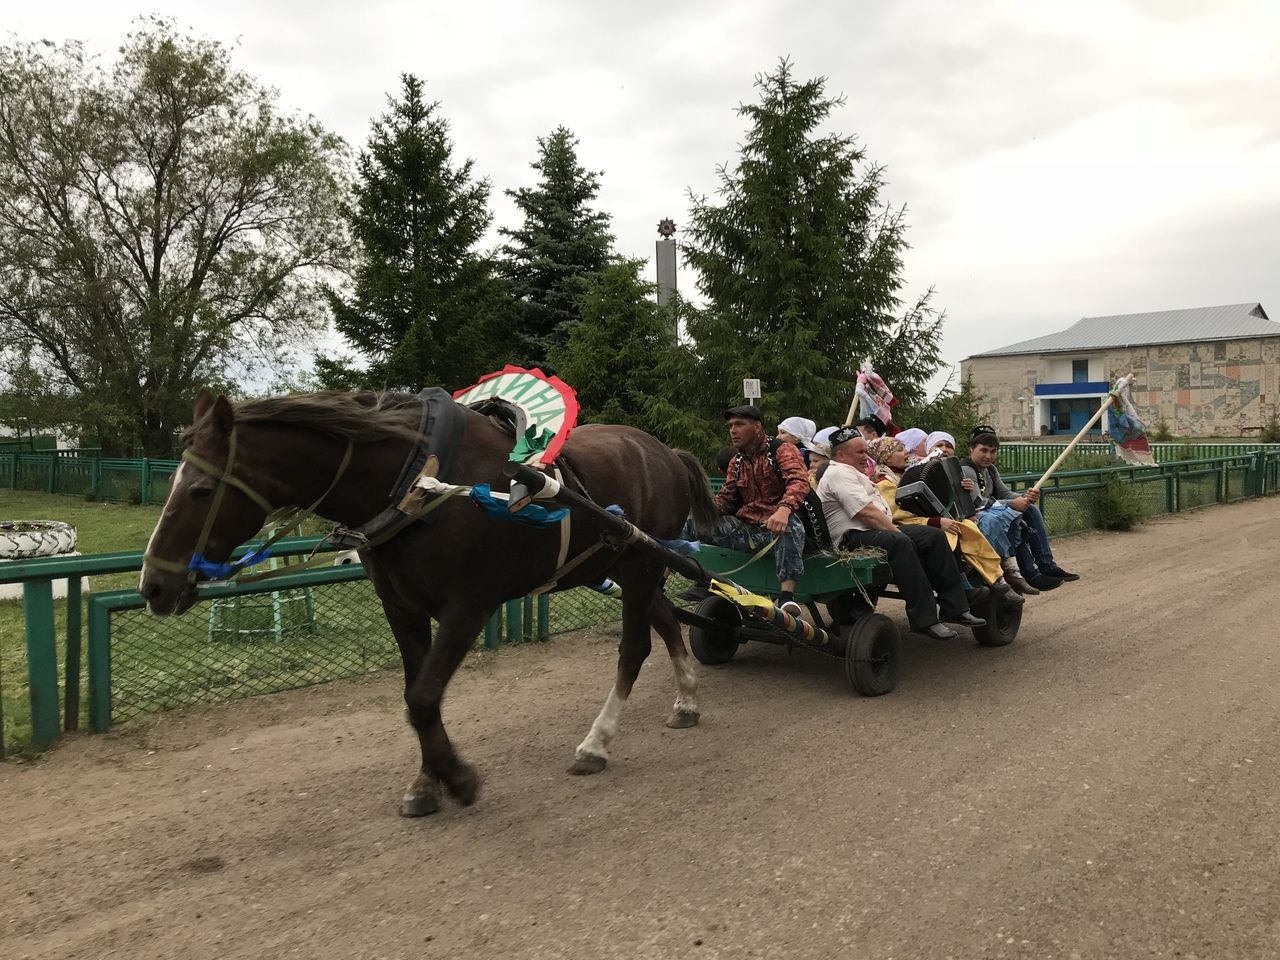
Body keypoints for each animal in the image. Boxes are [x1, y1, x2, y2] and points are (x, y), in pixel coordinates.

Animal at [142, 391, 721, 819]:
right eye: (172, 481)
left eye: (199, 490)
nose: (152, 586)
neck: (419, 482)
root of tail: (666, 452)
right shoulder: (401, 608)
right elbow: (414, 693)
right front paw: (428, 781)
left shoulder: (469, 605)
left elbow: (422, 698)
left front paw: (458, 778)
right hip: (627, 566)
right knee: (665, 622)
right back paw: (687, 701)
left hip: (642, 566)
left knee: (634, 647)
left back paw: (596, 743)